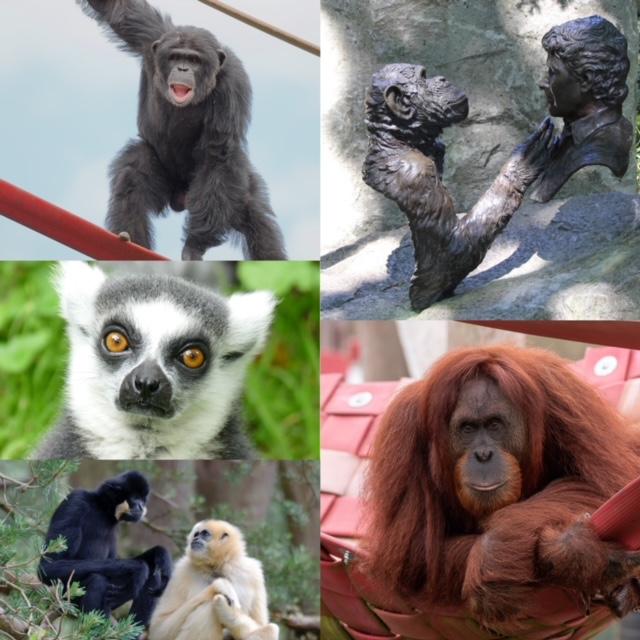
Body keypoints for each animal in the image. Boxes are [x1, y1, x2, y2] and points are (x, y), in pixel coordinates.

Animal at [79, 0, 287, 260]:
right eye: (176, 56)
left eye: (194, 60)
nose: (183, 68)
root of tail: (180, 199)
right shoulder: (151, 37)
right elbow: (117, 9)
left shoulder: (232, 84)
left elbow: (217, 153)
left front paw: (193, 246)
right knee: (134, 172)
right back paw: (128, 242)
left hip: (227, 193)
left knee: (256, 218)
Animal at [148, 520, 278, 640]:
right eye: (196, 534)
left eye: (205, 534)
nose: (195, 539)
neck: (216, 568)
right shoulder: (181, 570)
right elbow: (159, 628)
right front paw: (222, 586)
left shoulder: (253, 572)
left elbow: (261, 624)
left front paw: (227, 612)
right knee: (207, 608)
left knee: (271, 629)